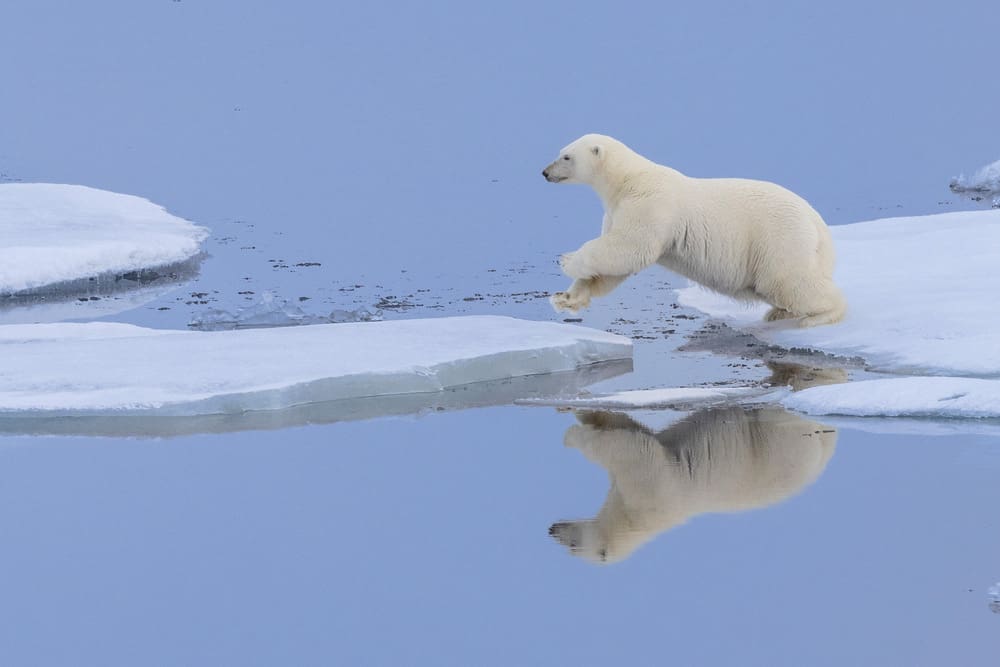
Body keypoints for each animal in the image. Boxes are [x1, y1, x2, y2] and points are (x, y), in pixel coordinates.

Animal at [544, 134, 848, 328]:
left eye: (566, 156)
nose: (545, 172)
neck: (627, 180)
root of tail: (817, 223)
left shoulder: (650, 205)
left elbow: (630, 248)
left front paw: (567, 260)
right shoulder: (617, 211)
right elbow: (614, 266)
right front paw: (565, 298)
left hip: (779, 238)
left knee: (788, 281)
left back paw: (819, 315)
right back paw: (778, 314)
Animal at [552, 408, 840, 564]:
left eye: (573, 546)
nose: (552, 530)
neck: (630, 521)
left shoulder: (648, 484)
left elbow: (623, 444)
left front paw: (571, 436)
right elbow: (622, 424)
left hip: (780, 440)